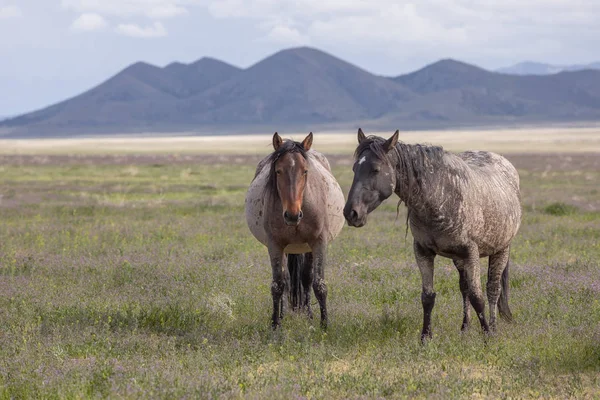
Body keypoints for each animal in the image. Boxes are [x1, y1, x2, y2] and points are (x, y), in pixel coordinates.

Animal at [245, 132, 346, 328]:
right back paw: (283, 314)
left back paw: (308, 314)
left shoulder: (319, 243)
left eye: (305, 171)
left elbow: (319, 284)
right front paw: (275, 324)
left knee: (306, 278)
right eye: (278, 171)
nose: (292, 215)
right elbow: (278, 285)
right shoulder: (275, 245)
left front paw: (324, 325)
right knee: (286, 280)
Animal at [344, 128, 524, 340]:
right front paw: (425, 337)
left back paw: (494, 328)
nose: (351, 213)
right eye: (354, 169)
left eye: (375, 169)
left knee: (492, 289)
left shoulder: (471, 252)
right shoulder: (423, 251)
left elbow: (477, 297)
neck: (440, 196)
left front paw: (487, 336)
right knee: (464, 288)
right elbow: (428, 297)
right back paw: (465, 328)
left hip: (501, 250)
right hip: (459, 258)